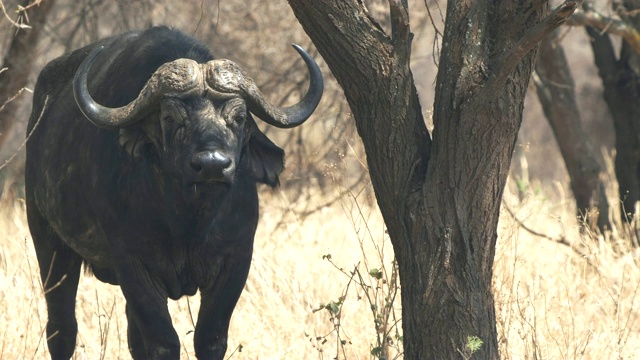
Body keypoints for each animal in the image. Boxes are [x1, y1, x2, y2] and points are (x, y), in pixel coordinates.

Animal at [24, 26, 322, 358]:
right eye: (170, 118)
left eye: (239, 118)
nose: (212, 165)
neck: (189, 222)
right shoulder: (133, 264)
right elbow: (163, 341)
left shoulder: (237, 258)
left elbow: (210, 338)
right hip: (48, 240)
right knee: (61, 326)